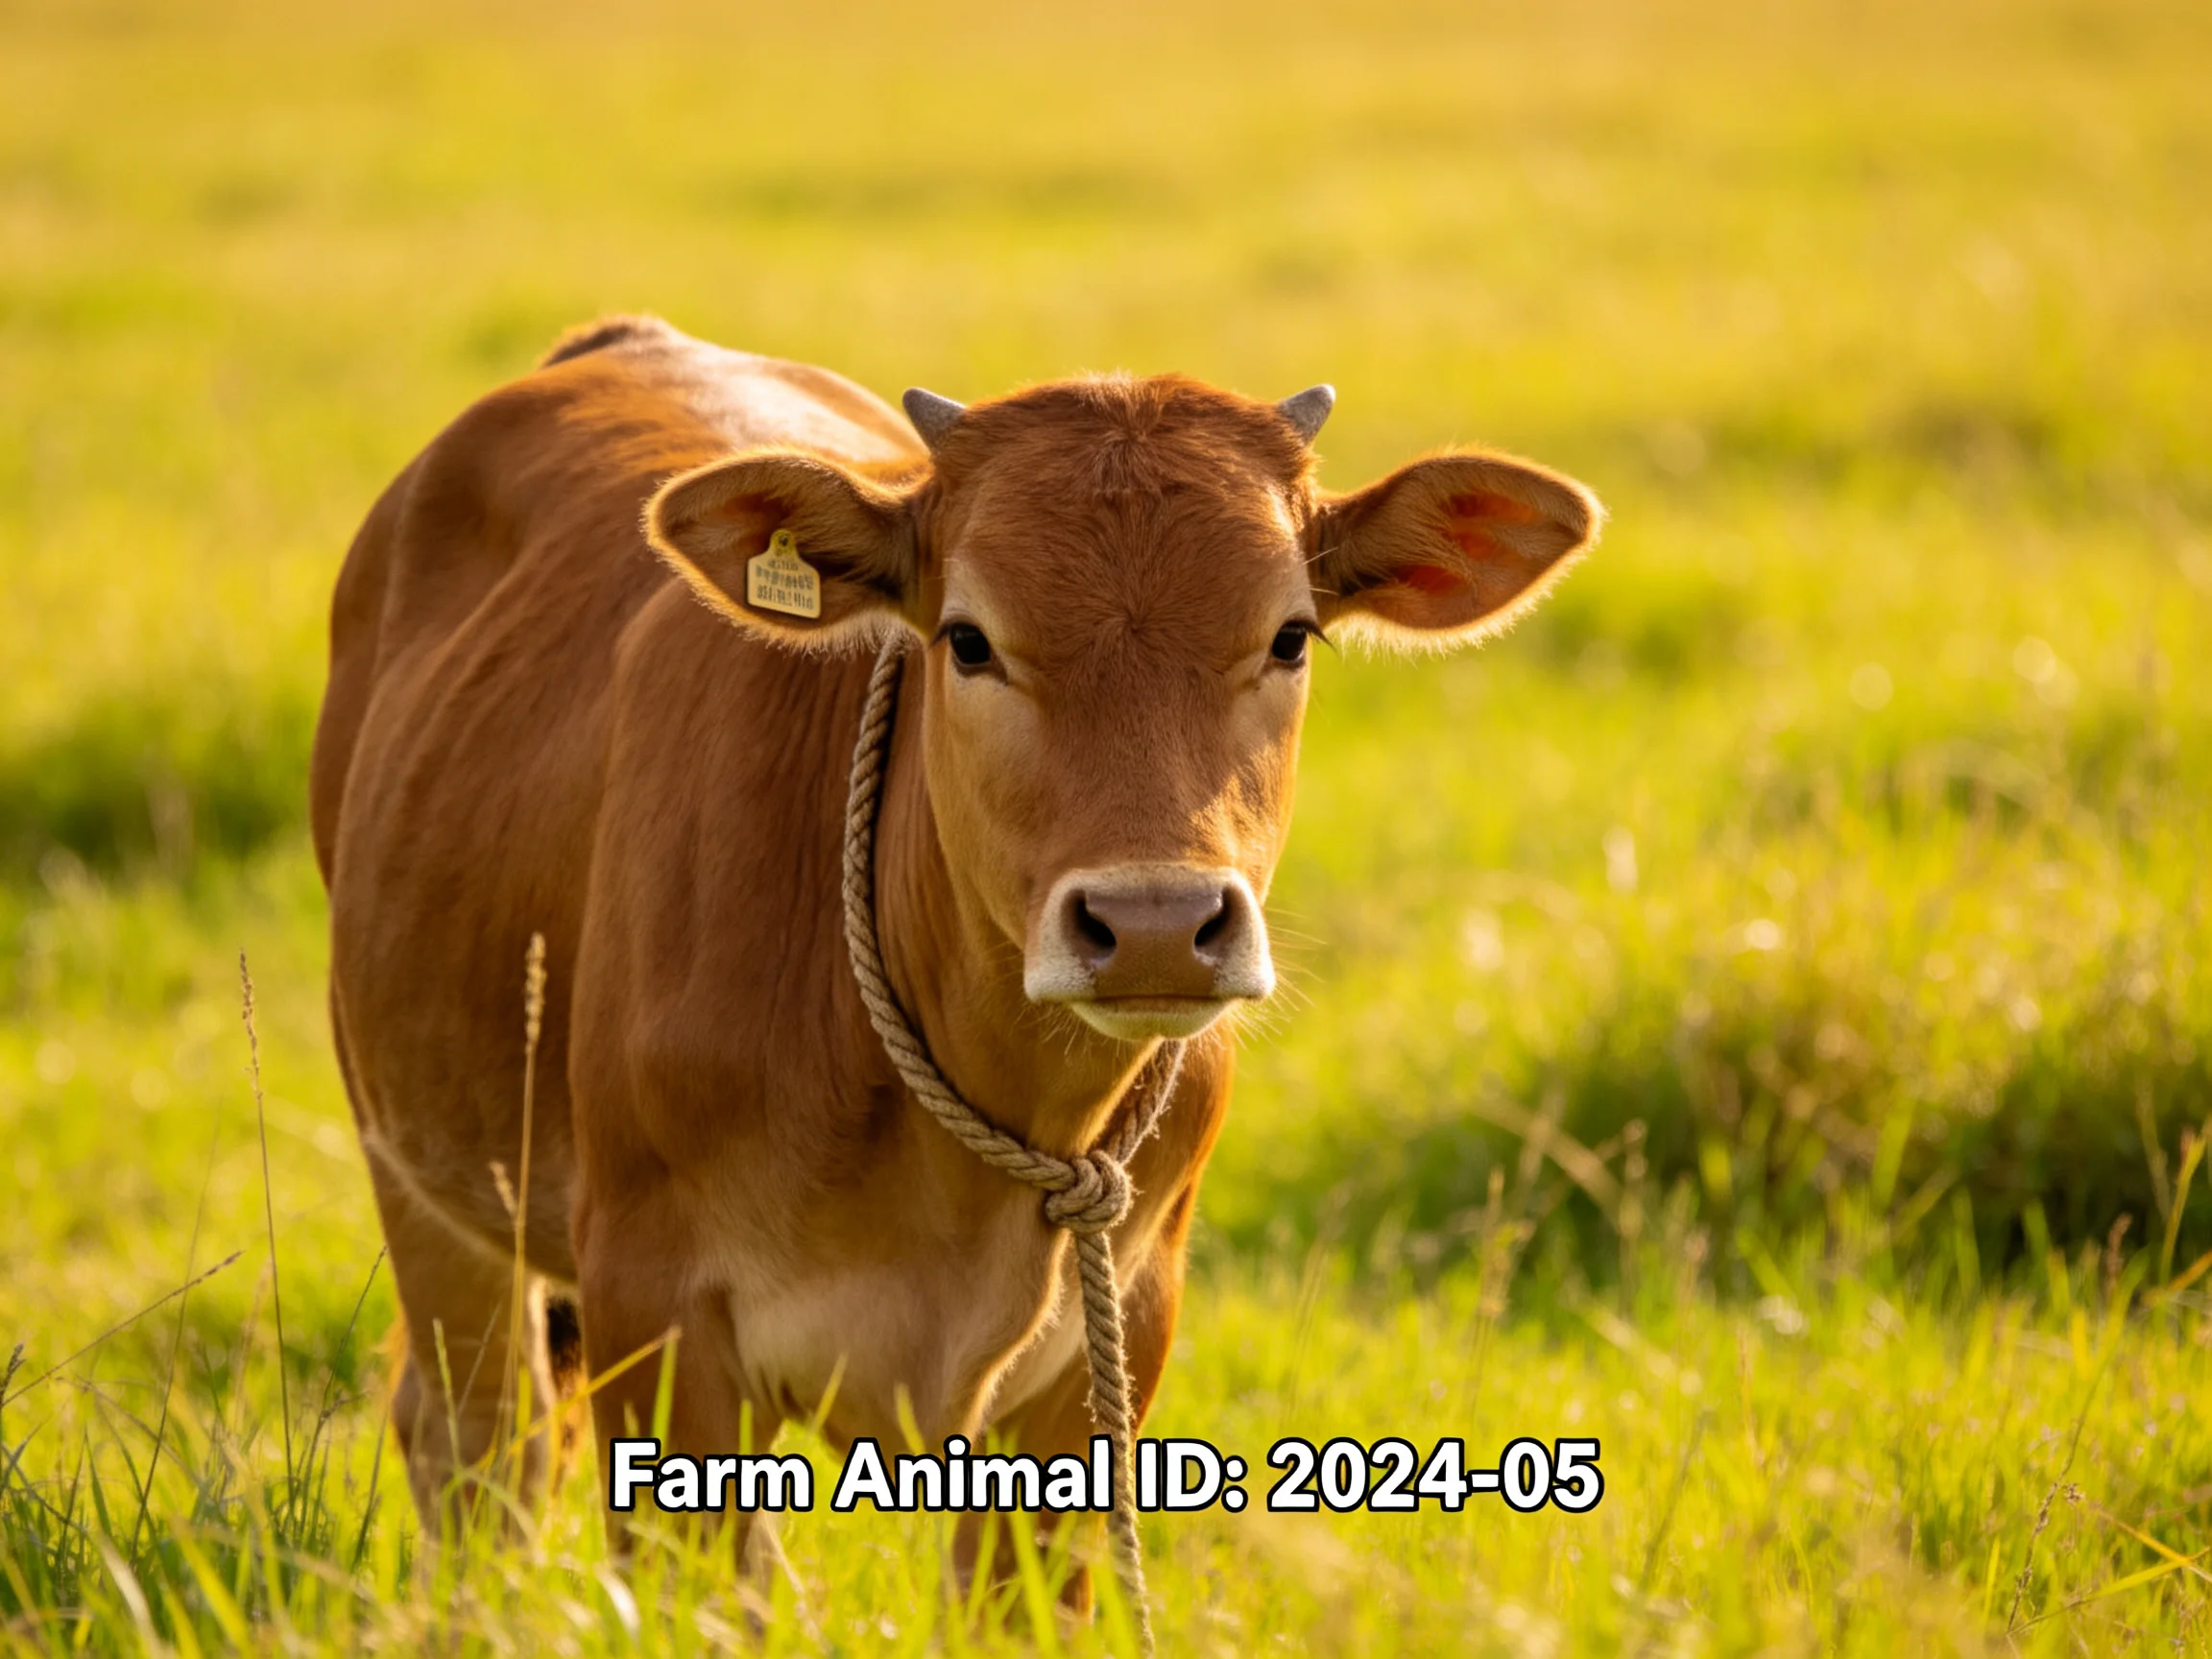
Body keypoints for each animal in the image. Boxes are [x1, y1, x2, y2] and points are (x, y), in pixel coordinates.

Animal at [309, 314, 1600, 1592]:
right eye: (969, 641)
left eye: (1290, 637)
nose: (1154, 922)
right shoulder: (659, 1311)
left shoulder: (1111, 1340)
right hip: (413, 1163)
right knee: (481, 1444)